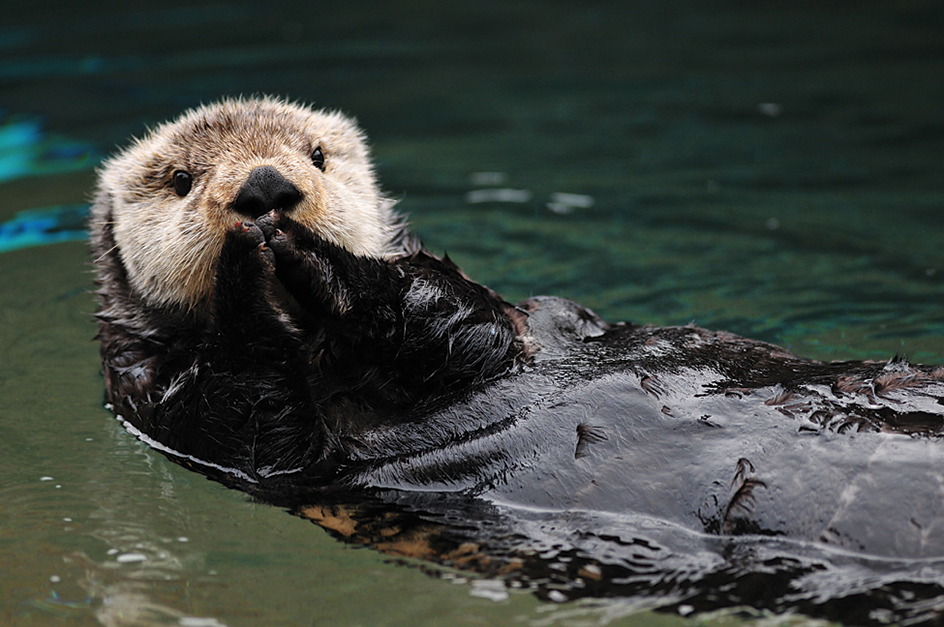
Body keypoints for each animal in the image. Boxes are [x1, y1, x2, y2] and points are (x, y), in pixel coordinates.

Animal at [90, 98, 944, 564]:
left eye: (318, 155)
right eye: (181, 180)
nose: (266, 190)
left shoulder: (497, 322)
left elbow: (452, 312)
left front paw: (317, 259)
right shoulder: (170, 409)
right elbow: (260, 418)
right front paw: (249, 274)